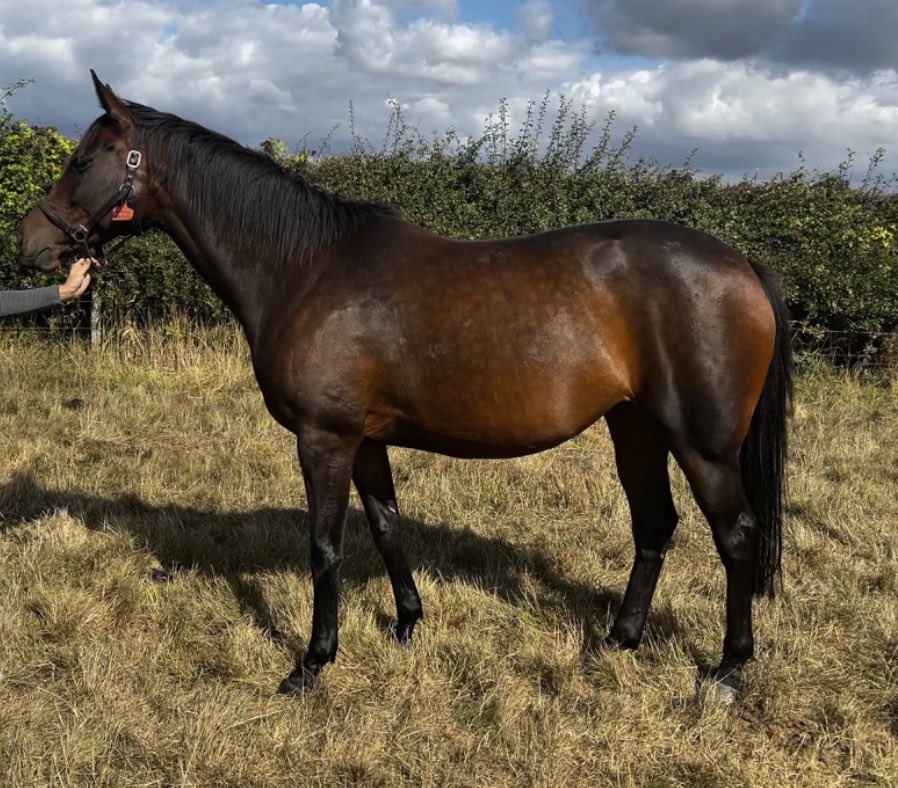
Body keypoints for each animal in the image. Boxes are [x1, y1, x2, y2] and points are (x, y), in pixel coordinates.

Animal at [19, 71, 792, 701]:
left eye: (82, 160)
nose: (31, 242)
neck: (305, 268)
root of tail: (742, 265)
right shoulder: (364, 441)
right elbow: (387, 527)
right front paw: (406, 625)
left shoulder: (324, 439)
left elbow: (325, 547)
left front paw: (312, 664)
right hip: (634, 427)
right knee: (654, 525)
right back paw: (616, 642)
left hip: (702, 445)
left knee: (736, 536)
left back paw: (728, 669)